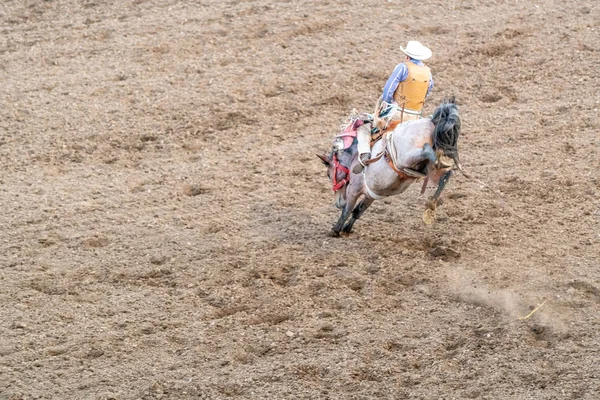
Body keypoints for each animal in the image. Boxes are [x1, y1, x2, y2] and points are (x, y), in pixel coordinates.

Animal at [316, 98, 462, 236]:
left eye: (328, 174)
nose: (338, 203)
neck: (354, 156)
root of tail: (431, 122)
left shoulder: (353, 190)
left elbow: (348, 210)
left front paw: (335, 230)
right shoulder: (371, 193)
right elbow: (358, 211)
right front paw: (347, 229)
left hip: (406, 157)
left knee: (426, 150)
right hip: (424, 168)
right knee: (445, 175)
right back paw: (433, 201)